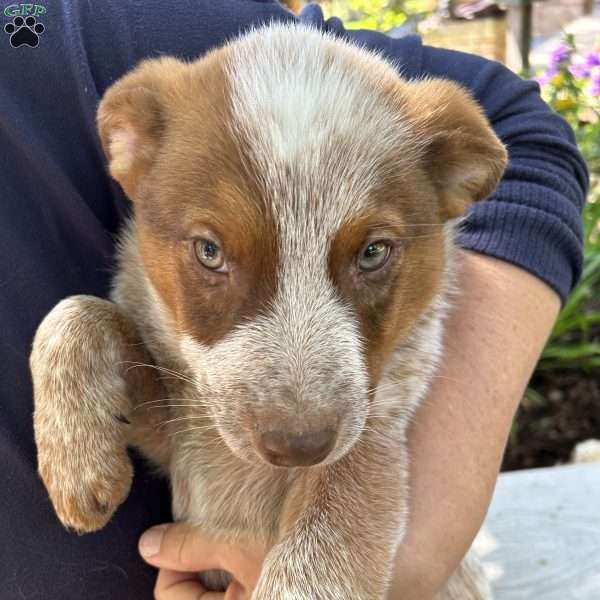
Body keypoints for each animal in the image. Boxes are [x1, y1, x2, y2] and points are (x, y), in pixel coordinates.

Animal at [29, 23, 506, 600]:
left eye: (373, 252)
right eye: (210, 251)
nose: (299, 446)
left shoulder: (372, 442)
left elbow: (314, 565)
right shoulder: (179, 433)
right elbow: (76, 311)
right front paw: (75, 460)